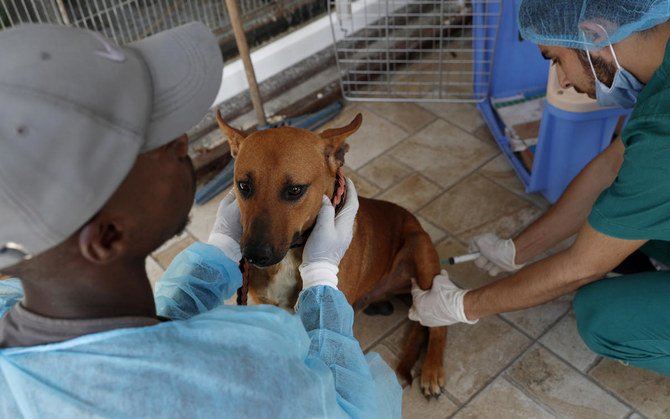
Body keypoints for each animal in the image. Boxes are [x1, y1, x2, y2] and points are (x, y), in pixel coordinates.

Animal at [218, 110, 448, 398]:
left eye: (295, 190)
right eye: (244, 186)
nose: (254, 255)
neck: (293, 253)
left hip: (420, 249)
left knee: (438, 323)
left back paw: (432, 370)